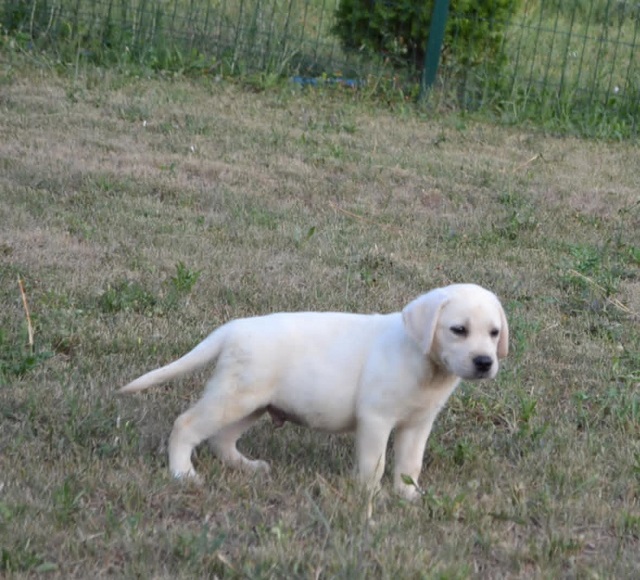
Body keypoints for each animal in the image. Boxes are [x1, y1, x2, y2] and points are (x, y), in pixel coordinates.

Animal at [122, 284, 508, 500]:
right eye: (458, 330)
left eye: (493, 332)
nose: (484, 362)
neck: (423, 359)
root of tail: (234, 327)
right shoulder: (376, 419)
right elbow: (375, 463)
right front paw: (370, 496)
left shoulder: (418, 425)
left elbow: (409, 464)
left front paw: (409, 496)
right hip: (234, 398)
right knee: (186, 425)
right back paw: (182, 474)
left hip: (252, 403)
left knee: (222, 439)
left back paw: (248, 467)